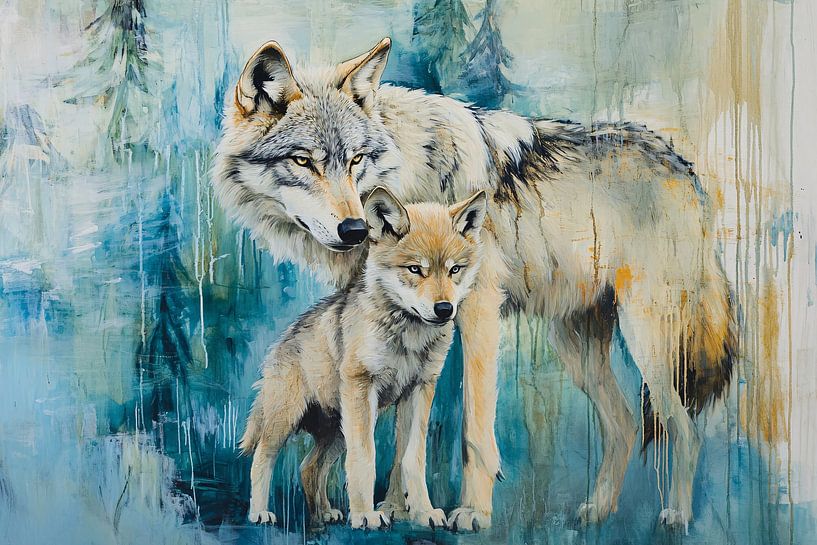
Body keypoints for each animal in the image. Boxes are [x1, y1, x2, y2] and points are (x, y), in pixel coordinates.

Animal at [239, 187, 488, 530]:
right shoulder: (361, 386)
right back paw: (259, 513)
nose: (444, 309)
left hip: (337, 431)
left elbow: (413, 460)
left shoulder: (420, 389)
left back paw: (322, 514)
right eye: (415, 269)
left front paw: (423, 512)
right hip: (288, 419)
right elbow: (364, 460)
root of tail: (281, 342)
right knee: (262, 457)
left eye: (454, 270)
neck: (408, 335)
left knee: (309, 467)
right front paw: (365, 516)